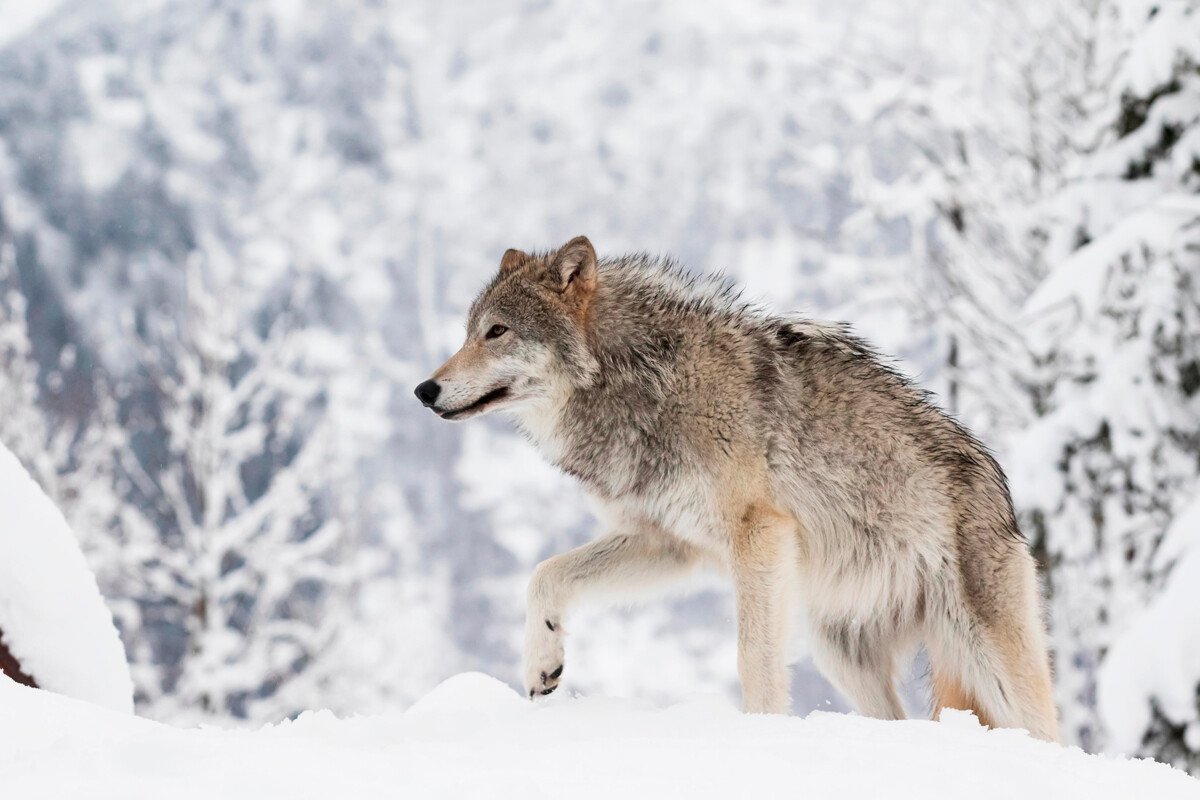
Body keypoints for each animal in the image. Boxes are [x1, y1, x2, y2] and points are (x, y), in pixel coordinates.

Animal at [415, 235, 1060, 743]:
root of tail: (1001, 493)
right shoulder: (667, 542)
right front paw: (541, 663)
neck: (640, 381)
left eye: (497, 331)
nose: (424, 390)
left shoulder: (758, 534)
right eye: (470, 333)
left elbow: (754, 658)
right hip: (840, 651)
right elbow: (544, 575)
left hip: (990, 667)